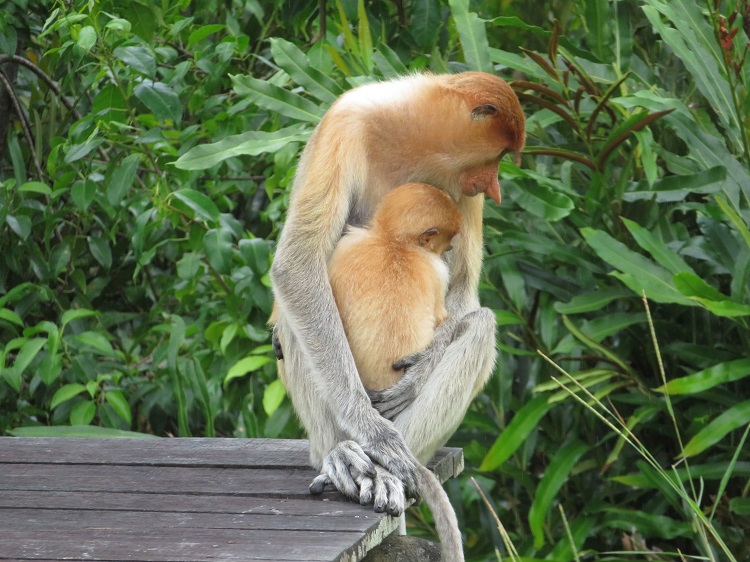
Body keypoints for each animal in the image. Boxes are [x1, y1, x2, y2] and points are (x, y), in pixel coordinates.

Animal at [270, 72, 525, 542]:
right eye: (499, 155)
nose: (494, 189)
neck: (413, 138)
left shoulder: (463, 190)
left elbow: (463, 293)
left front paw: (417, 374)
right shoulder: (345, 125)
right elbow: (298, 263)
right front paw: (377, 437)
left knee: (480, 325)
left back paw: (389, 470)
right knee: (299, 312)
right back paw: (345, 454)